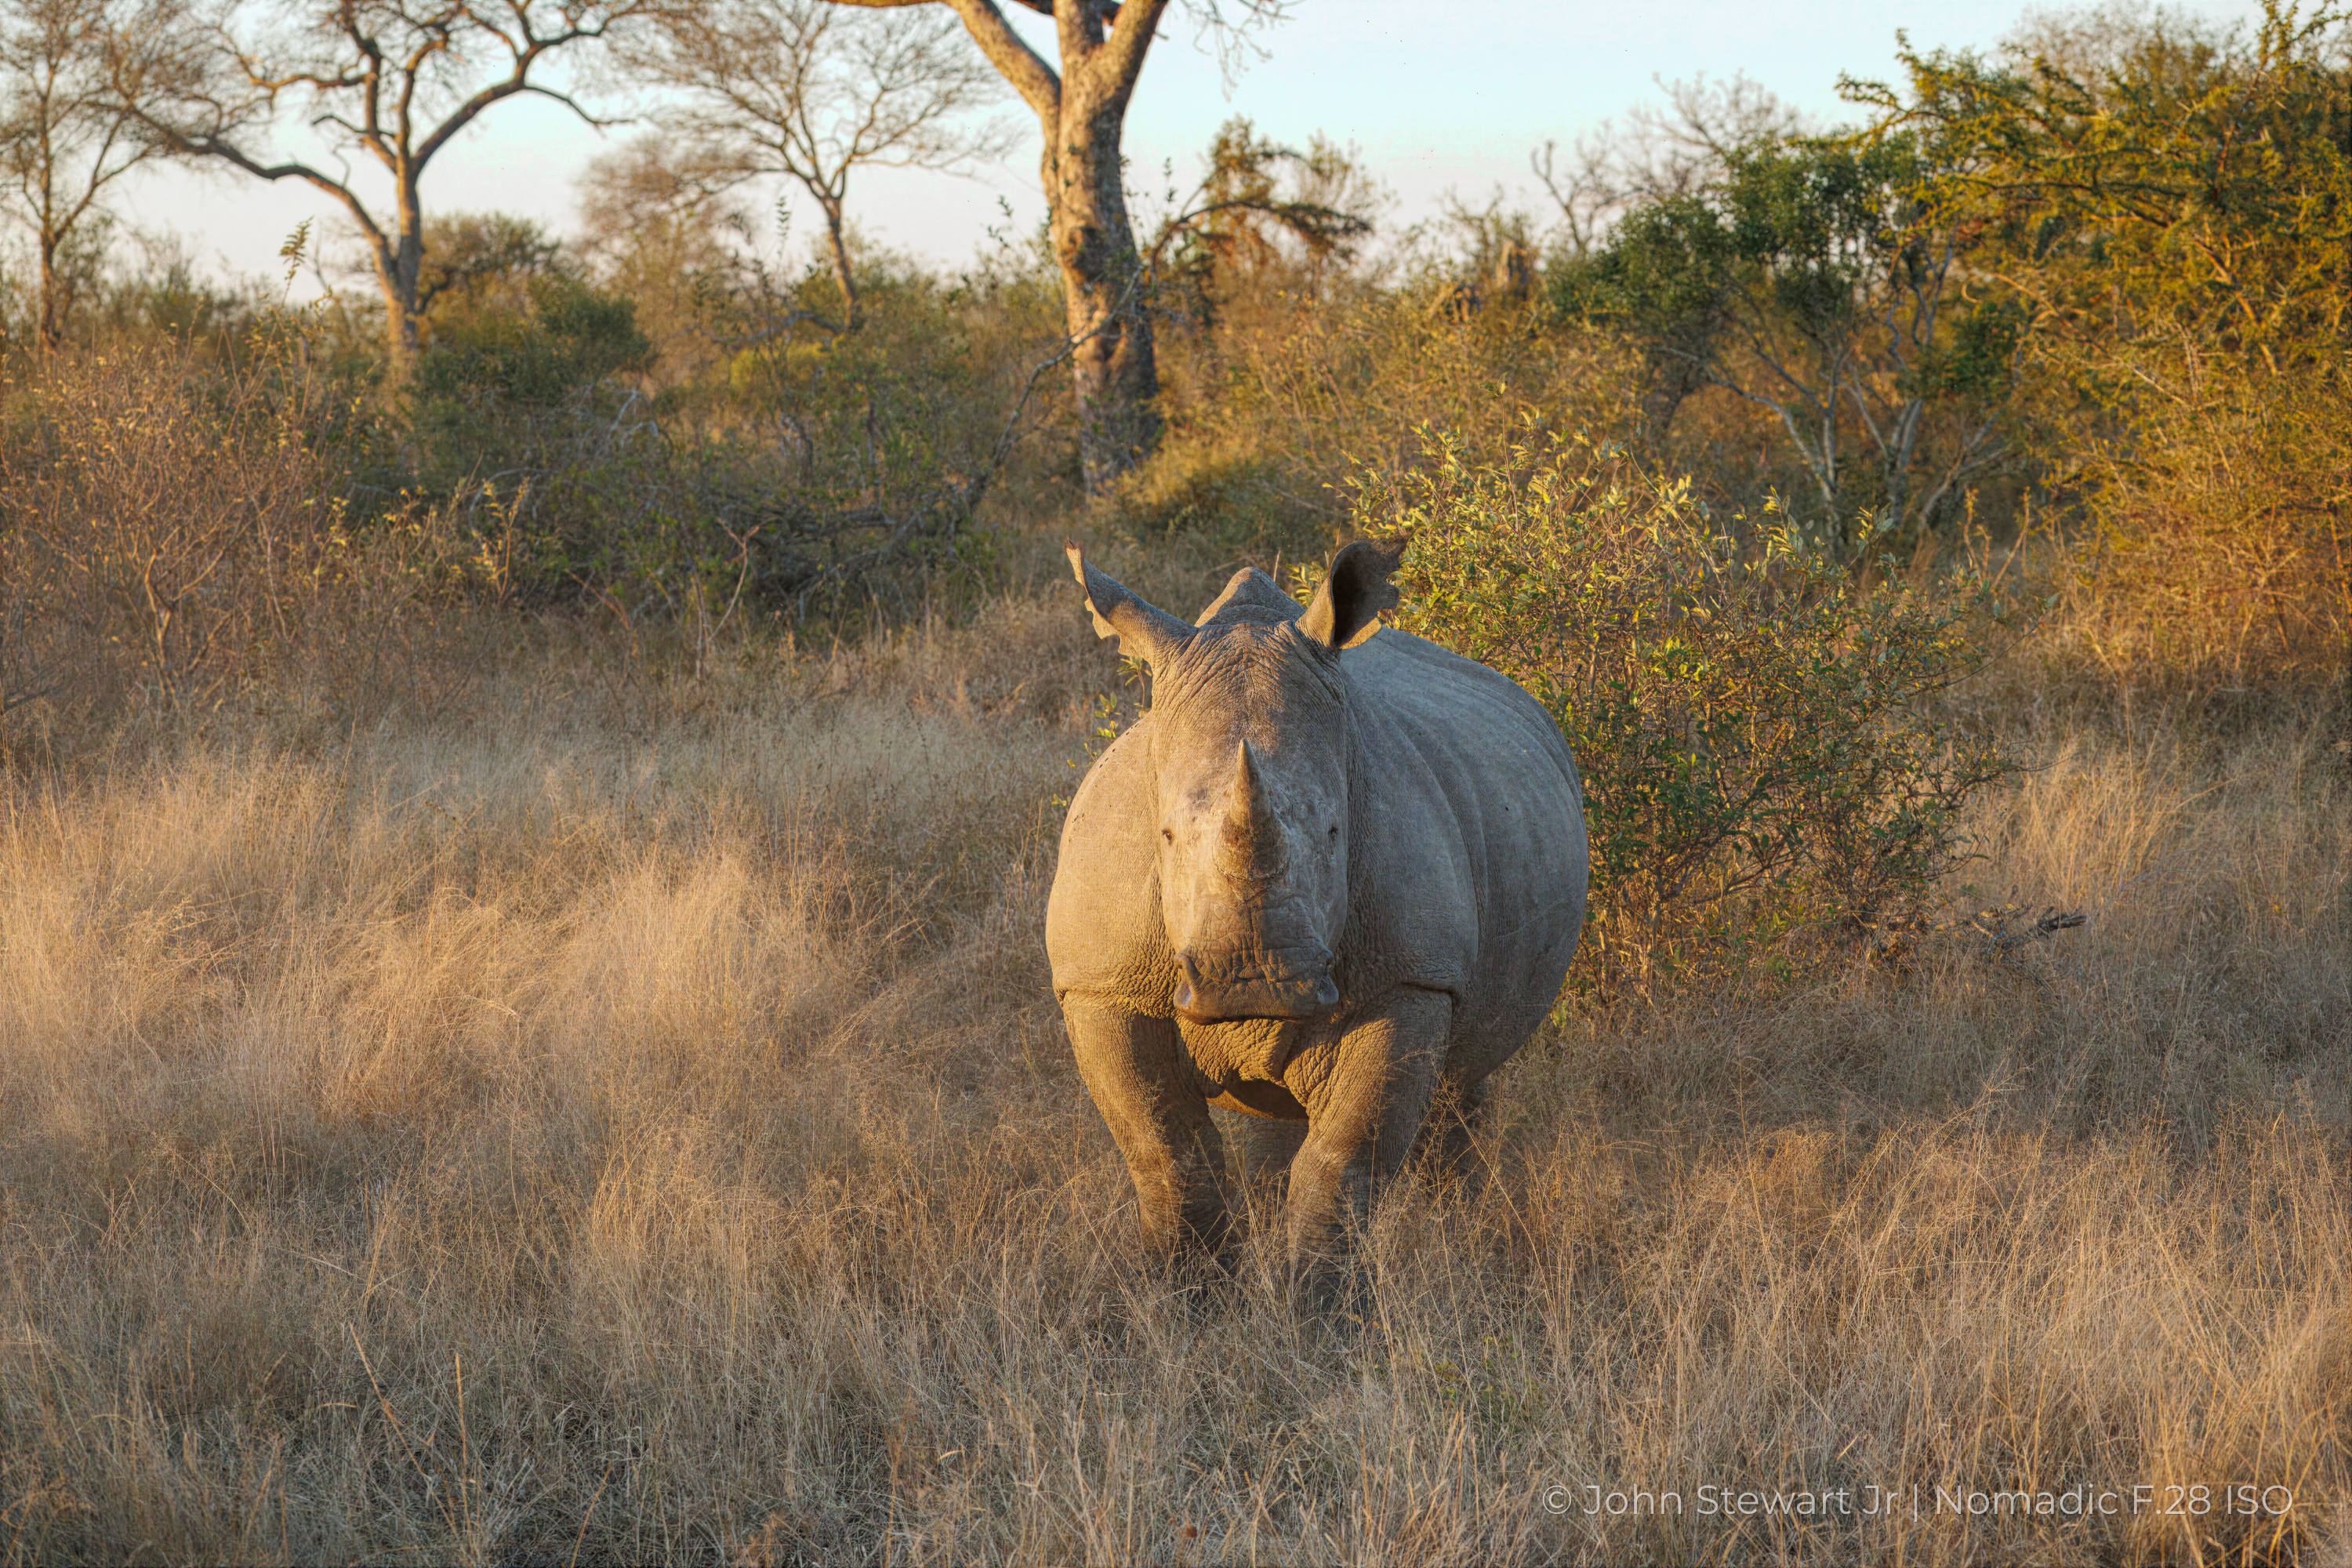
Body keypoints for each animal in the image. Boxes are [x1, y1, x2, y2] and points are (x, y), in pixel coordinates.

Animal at [1046, 539, 1589, 1299]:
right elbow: (1169, 1155)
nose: (1253, 983)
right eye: (1165, 838)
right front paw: (1189, 1303)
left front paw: (1314, 1312)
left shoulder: (1410, 976)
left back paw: (1461, 1242)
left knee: (1461, 1079)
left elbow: (1341, 1163)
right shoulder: (1102, 983)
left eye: (1336, 833)